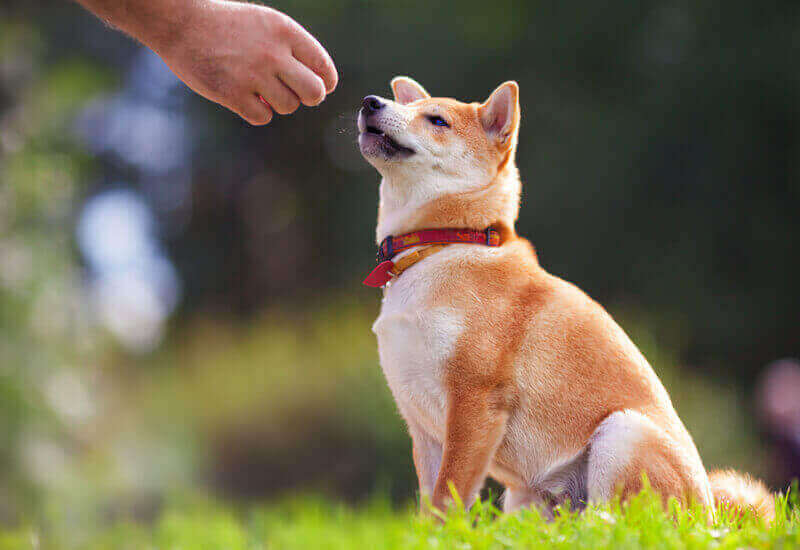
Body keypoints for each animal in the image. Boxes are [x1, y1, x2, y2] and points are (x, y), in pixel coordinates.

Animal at [356, 76, 776, 520]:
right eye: (410, 109)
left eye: (437, 120)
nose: (370, 102)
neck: (441, 244)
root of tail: (709, 515)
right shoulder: (422, 425)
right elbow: (430, 504)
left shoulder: (475, 401)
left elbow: (449, 495)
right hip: (526, 498)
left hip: (621, 432)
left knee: (615, 521)